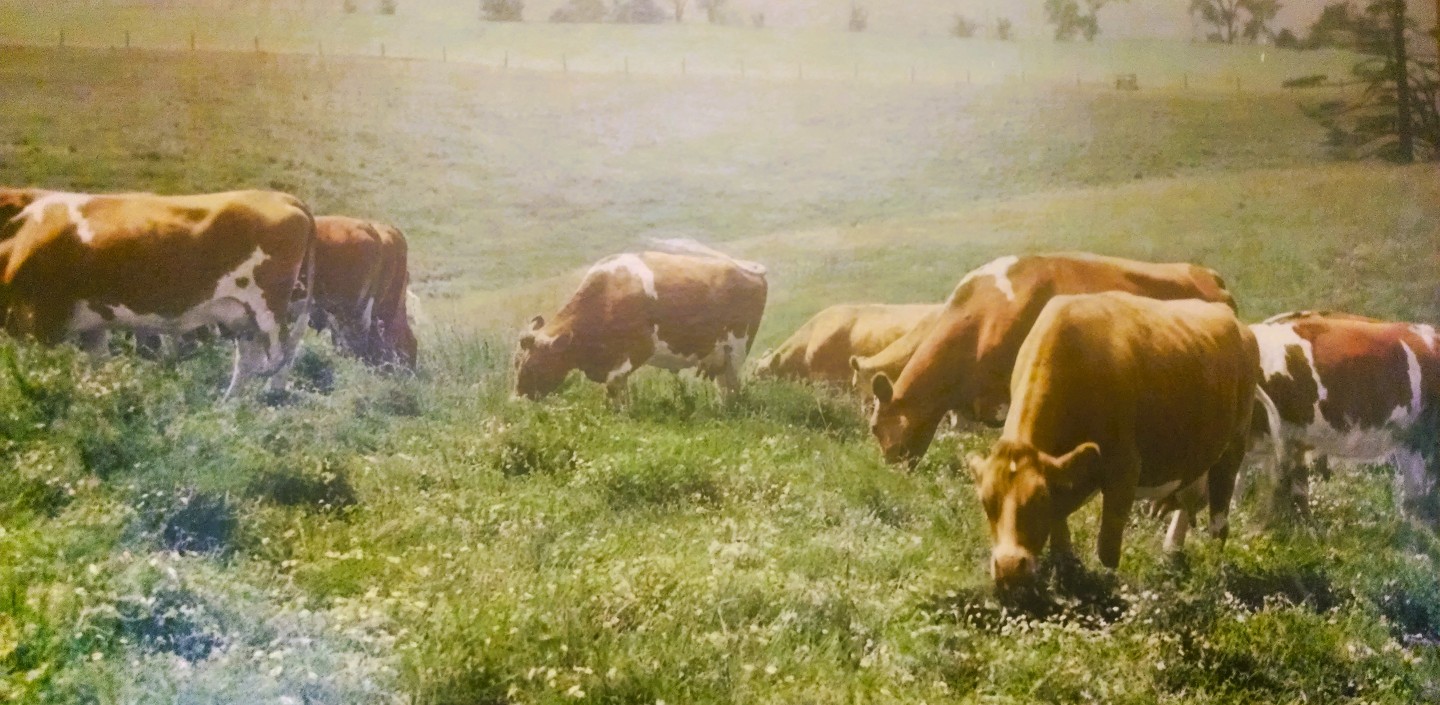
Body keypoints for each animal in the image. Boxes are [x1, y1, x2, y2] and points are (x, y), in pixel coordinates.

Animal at [0, 188, 315, 397]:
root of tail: (280, 196)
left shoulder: (37, 320)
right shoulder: (92, 326)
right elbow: (98, 364)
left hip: (268, 310)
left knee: (280, 355)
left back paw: (268, 401)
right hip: (242, 315)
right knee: (249, 359)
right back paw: (229, 405)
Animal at [513, 241, 767, 403]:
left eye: (534, 364)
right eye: (516, 363)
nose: (518, 397)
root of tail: (748, 267)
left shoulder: (639, 348)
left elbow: (614, 384)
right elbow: (618, 390)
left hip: (737, 349)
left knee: (732, 386)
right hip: (719, 356)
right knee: (724, 385)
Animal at [967, 292, 1264, 589]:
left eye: (1039, 499)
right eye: (985, 501)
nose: (1008, 567)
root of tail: (1231, 317)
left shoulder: (1124, 468)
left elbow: (1107, 550)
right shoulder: (1062, 473)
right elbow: (1061, 539)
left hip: (1233, 446)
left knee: (1219, 521)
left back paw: (1216, 573)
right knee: (1189, 499)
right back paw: (1171, 552)